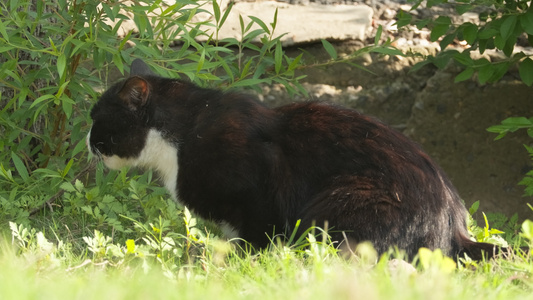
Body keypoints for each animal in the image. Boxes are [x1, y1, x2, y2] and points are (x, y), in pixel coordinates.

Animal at [85, 59, 496, 260]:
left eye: (97, 118)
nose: (87, 142)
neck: (181, 136)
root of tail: (455, 227)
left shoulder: (257, 193)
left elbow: (255, 237)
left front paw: (241, 263)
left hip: (344, 200)